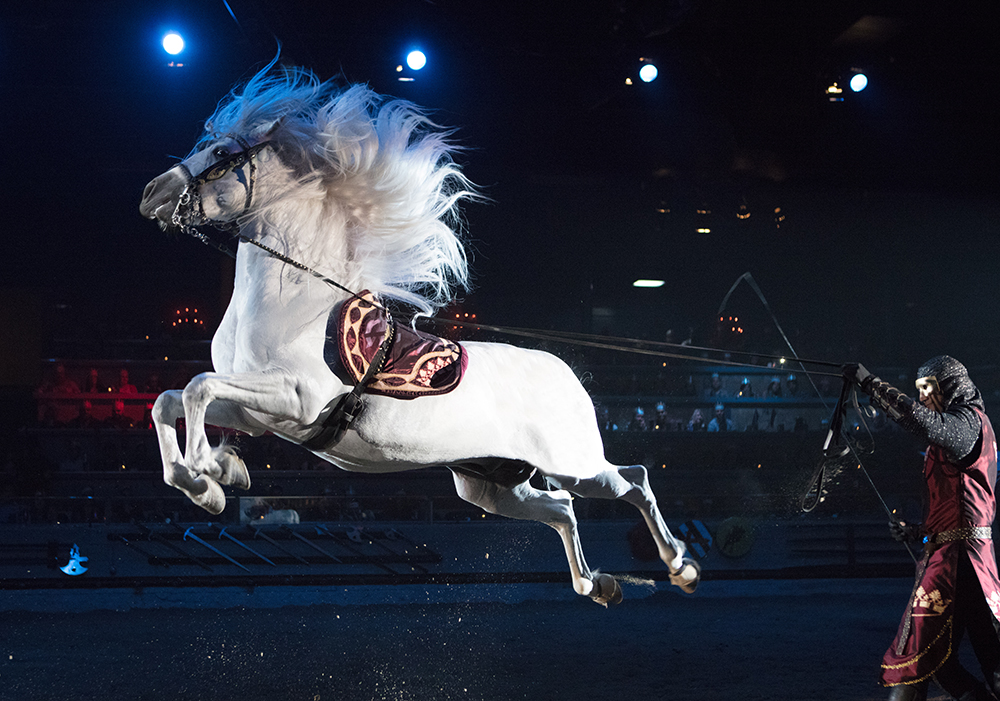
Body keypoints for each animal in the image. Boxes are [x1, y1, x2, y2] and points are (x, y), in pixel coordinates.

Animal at [138, 62, 700, 605]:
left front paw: (210, 471)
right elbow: (169, 401)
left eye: (219, 152)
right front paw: (213, 479)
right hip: (494, 486)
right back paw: (597, 585)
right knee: (562, 508)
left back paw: (680, 566)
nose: (152, 194)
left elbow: (197, 388)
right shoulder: (258, 415)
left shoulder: (295, 396)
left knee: (634, 480)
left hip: (573, 463)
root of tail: (567, 374)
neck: (295, 303)